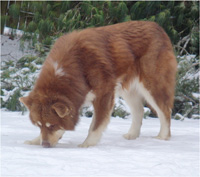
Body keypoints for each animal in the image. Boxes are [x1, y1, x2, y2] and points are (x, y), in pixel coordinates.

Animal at [19, 20, 177, 148]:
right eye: (38, 125)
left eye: (52, 125)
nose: (44, 145)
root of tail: (158, 27)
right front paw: (36, 140)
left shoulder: (104, 95)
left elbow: (95, 126)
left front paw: (87, 144)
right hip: (128, 90)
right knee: (139, 111)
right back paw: (132, 135)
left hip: (152, 87)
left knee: (165, 111)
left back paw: (163, 137)